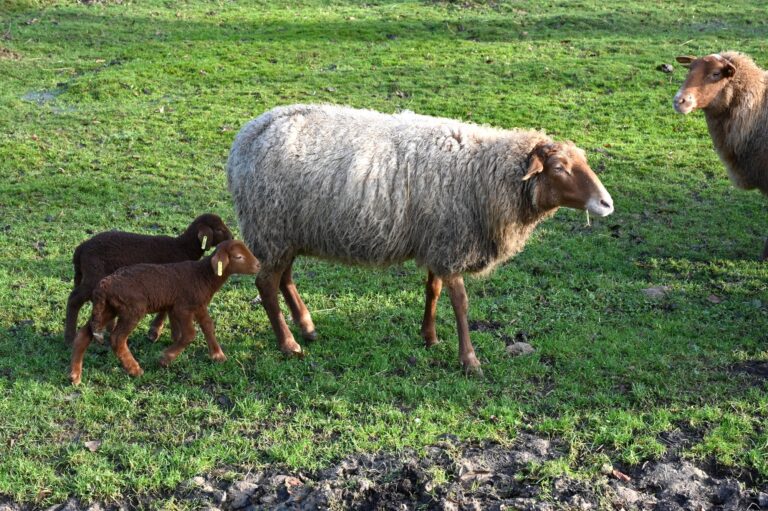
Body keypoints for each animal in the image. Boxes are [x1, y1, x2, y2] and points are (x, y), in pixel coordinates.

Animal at [64, 212, 232, 344]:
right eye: (219, 229)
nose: (232, 238)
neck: (182, 247)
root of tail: (81, 249)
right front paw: (155, 332)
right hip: (93, 274)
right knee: (74, 299)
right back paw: (70, 338)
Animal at [69, 239, 260, 384]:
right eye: (238, 256)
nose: (259, 265)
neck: (203, 276)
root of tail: (104, 286)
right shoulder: (182, 307)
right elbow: (189, 334)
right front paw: (165, 358)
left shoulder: (198, 305)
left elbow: (208, 326)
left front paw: (217, 355)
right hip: (132, 309)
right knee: (117, 339)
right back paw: (134, 369)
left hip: (109, 309)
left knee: (84, 334)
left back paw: (75, 375)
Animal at [225, 105, 616, 376]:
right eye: (560, 168)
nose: (607, 204)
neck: (485, 172)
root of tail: (249, 133)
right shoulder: (452, 241)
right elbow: (460, 302)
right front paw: (469, 360)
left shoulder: (438, 240)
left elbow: (433, 290)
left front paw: (430, 337)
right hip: (271, 224)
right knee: (266, 284)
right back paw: (289, 344)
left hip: (286, 231)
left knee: (284, 278)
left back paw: (307, 327)